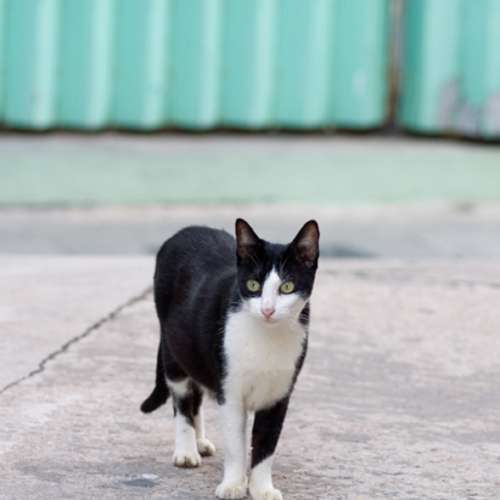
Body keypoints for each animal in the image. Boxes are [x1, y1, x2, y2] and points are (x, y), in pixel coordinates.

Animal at [141, 218, 320, 500]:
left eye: (287, 287)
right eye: (254, 285)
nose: (267, 310)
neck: (266, 338)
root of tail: (187, 229)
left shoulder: (280, 394)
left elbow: (266, 444)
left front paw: (261, 488)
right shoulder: (230, 389)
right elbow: (236, 443)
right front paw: (233, 484)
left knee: (197, 393)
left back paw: (200, 441)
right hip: (175, 348)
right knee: (182, 399)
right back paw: (187, 450)